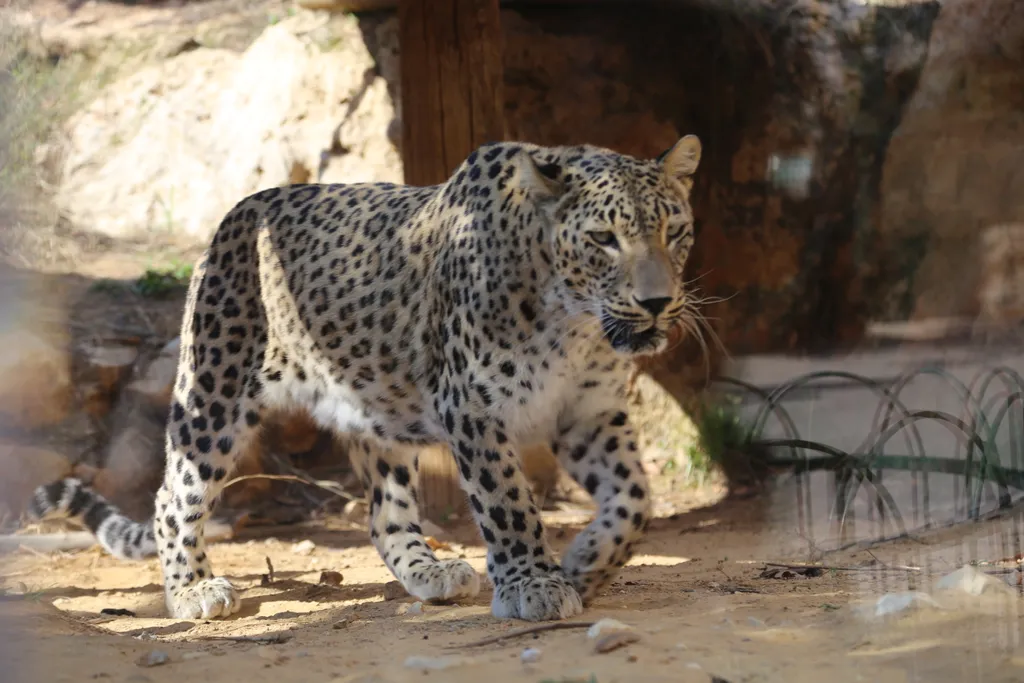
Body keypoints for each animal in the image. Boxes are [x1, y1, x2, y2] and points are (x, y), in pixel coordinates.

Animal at [29, 134, 703, 622]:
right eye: (603, 239)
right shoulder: (473, 407)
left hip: (378, 415)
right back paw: (192, 591)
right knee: (174, 495)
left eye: (675, 231)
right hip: (212, 391)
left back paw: (432, 574)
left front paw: (587, 562)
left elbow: (635, 499)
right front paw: (533, 583)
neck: (575, 326)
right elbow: (509, 501)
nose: (656, 303)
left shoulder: (588, 412)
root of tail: (232, 217)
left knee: (384, 516)